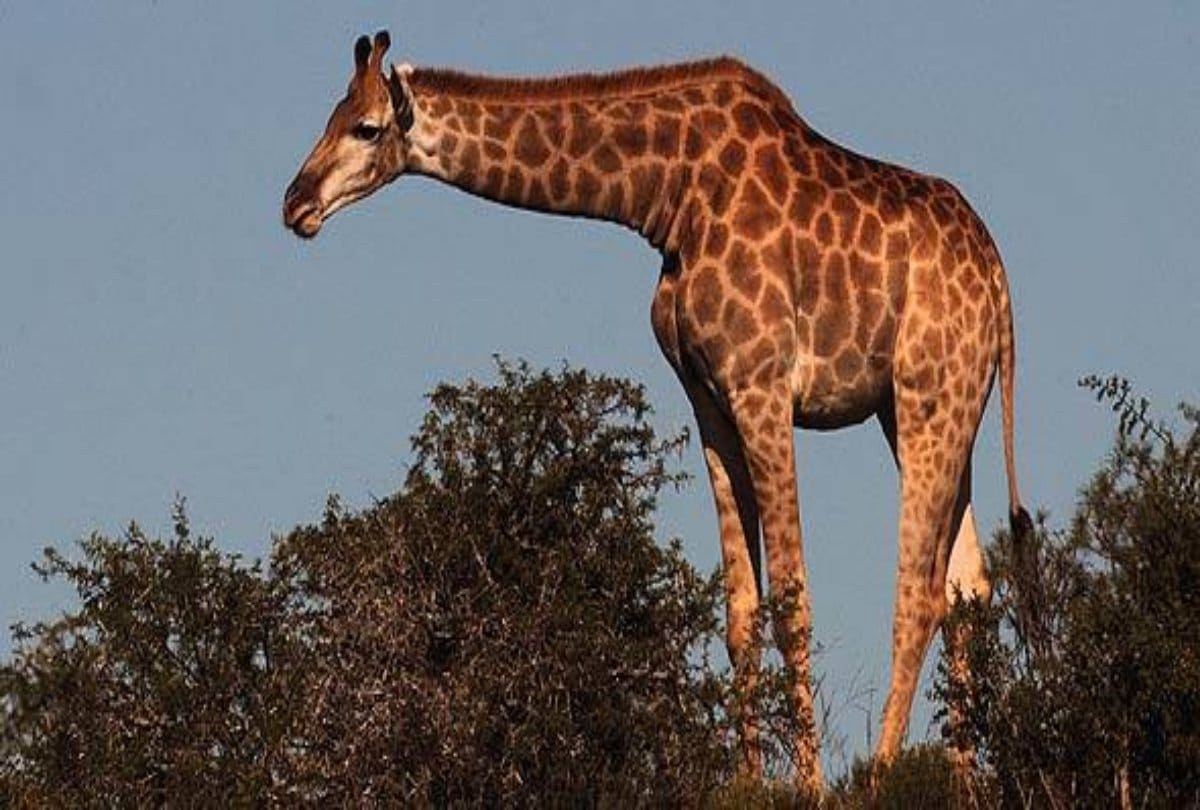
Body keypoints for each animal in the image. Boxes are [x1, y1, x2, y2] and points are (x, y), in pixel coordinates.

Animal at [283, 31, 1031, 789]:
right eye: (331, 115)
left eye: (364, 127)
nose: (294, 203)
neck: (666, 195)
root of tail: (998, 281)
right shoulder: (709, 400)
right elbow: (740, 610)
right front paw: (749, 783)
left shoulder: (762, 385)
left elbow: (792, 600)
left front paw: (812, 787)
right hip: (927, 407)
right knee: (968, 584)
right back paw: (965, 784)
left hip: (927, 393)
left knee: (920, 592)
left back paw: (882, 775)